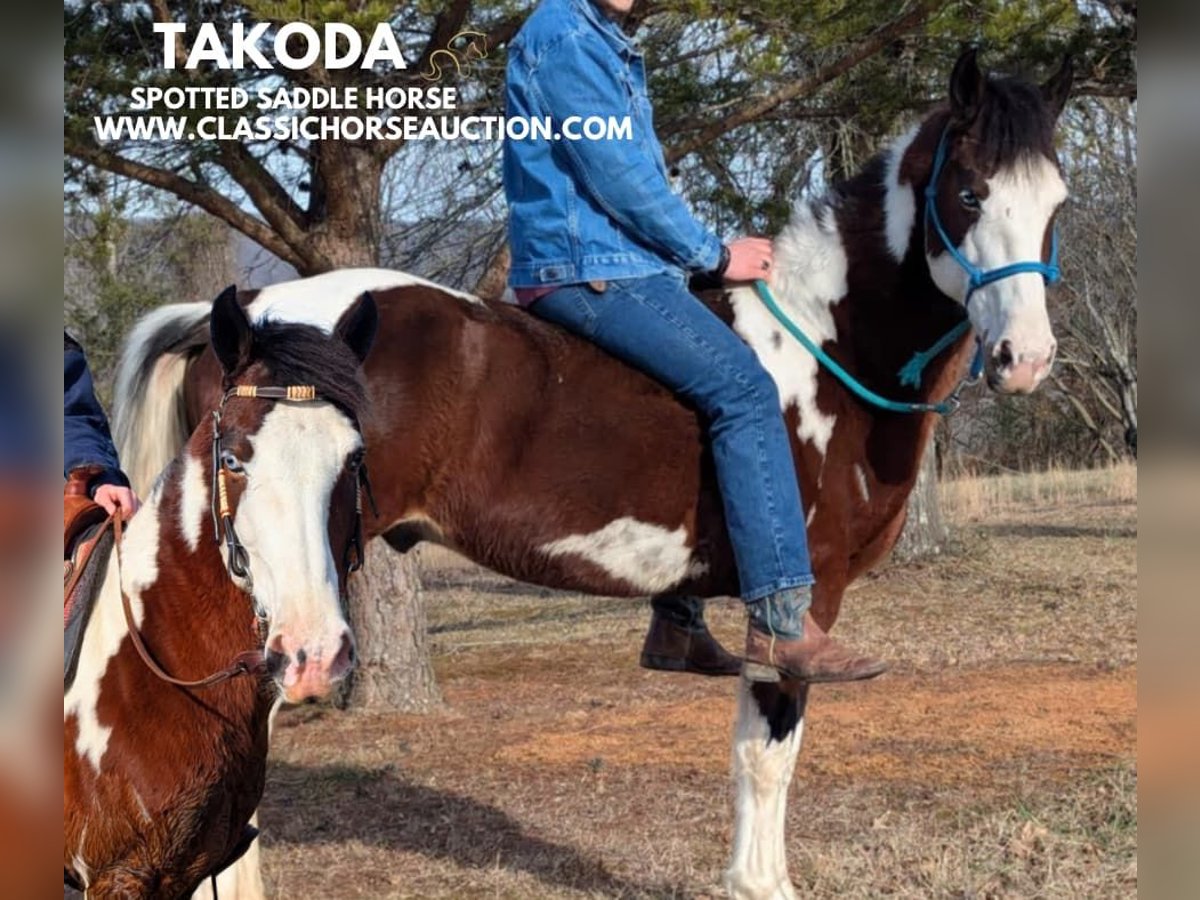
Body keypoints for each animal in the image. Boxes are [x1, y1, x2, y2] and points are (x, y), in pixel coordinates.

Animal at [112, 51, 1070, 900]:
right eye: (969, 193)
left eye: (1055, 202)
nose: (1025, 360)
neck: (824, 344)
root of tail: (240, 317)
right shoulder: (806, 599)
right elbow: (768, 755)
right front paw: (762, 886)